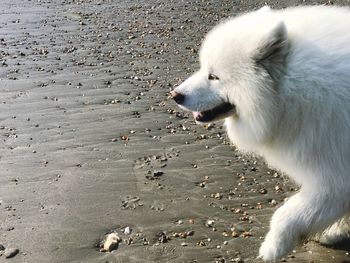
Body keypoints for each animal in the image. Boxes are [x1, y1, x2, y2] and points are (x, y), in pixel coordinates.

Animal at [172, 5, 350, 262]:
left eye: (213, 76)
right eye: (204, 69)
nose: (175, 95)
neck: (290, 90)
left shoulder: (333, 176)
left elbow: (287, 214)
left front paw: (272, 247)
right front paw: (335, 232)